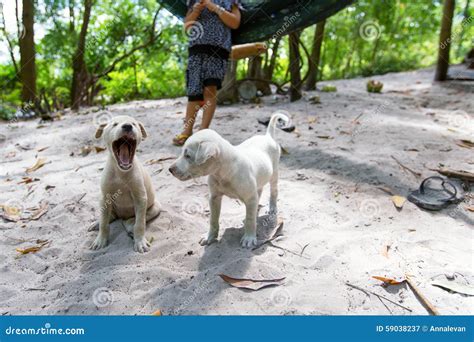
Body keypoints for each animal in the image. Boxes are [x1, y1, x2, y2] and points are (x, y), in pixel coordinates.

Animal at [90, 116, 161, 252]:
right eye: (114, 124)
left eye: (134, 124)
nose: (128, 126)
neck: (121, 172)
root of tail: (122, 216)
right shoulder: (105, 197)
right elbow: (104, 223)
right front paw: (101, 240)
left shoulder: (140, 198)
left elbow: (139, 224)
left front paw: (140, 242)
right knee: (109, 216)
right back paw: (96, 223)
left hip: (155, 207)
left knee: (131, 221)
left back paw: (130, 227)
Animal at [170, 113, 288, 248]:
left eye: (188, 156)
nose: (170, 169)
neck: (222, 173)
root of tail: (268, 137)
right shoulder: (214, 197)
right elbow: (213, 219)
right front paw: (210, 237)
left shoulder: (249, 198)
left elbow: (250, 220)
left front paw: (249, 238)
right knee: (259, 191)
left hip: (274, 174)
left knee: (273, 191)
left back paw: (272, 207)